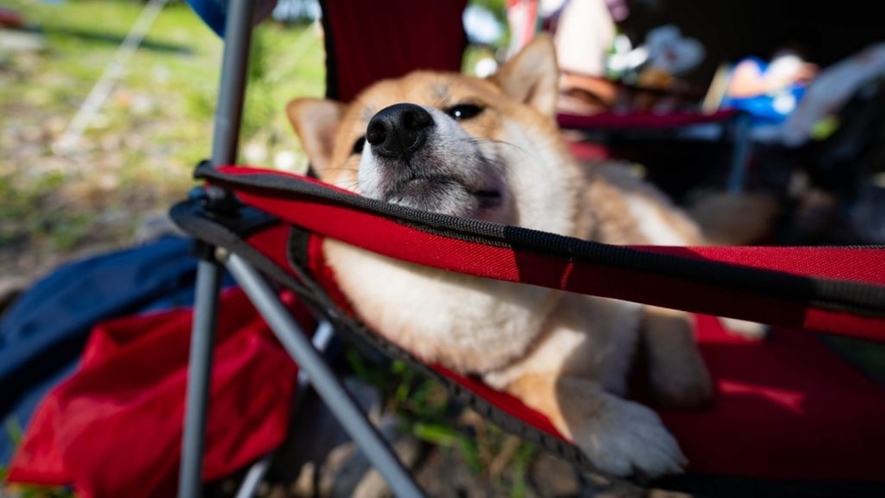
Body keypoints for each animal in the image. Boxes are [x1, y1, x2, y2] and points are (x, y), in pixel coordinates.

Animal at [286, 35, 716, 478]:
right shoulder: (497, 377)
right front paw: (620, 428)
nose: (392, 127)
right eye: (359, 143)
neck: (477, 272)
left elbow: (667, 318)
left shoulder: (637, 249)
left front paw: (682, 381)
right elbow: (550, 387)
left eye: (464, 110)